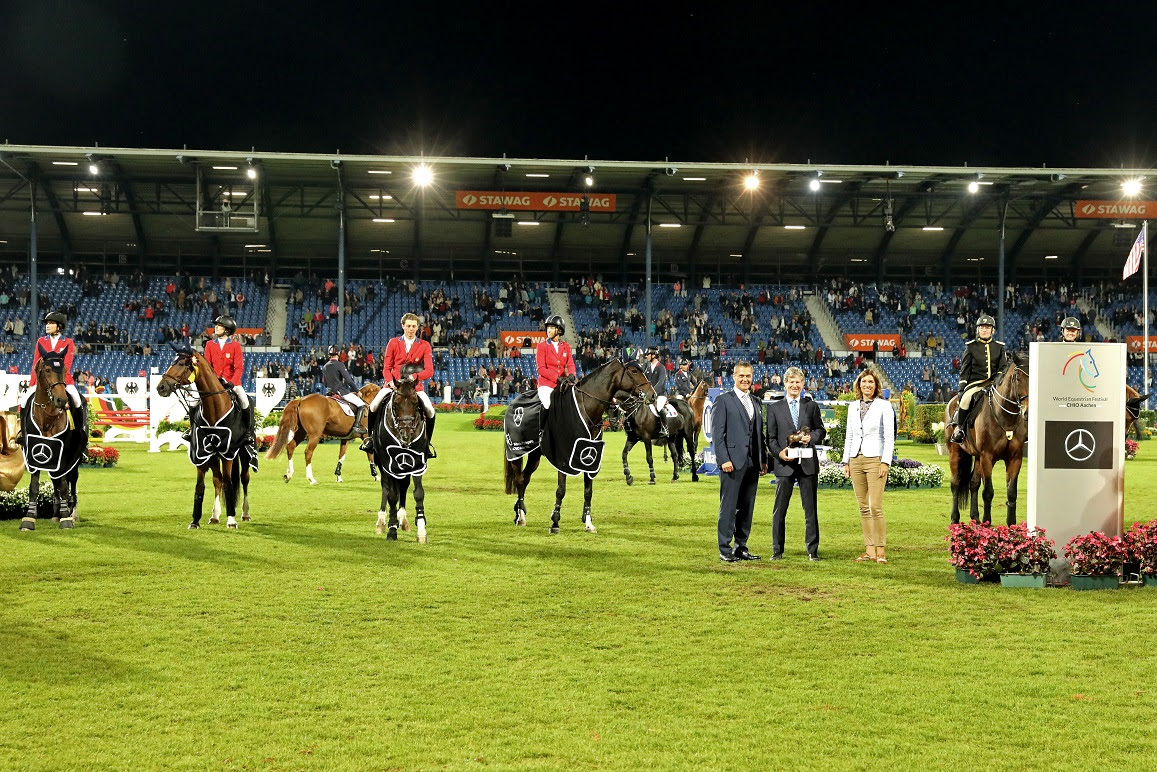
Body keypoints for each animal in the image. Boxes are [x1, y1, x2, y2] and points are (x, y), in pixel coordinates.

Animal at [370, 365, 430, 541]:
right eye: (395, 403)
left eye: (416, 402)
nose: (406, 434)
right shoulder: (387, 463)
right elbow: (392, 495)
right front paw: (391, 529)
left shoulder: (417, 463)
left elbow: (418, 493)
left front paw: (421, 530)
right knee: (386, 487)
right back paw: (382, 522)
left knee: (403, 486)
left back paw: (402, 520)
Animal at [504, 358, 657, 534]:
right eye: (633, 371)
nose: (653, 394)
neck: (586, 409)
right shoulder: (563, 458)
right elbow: (561, 490)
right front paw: (555, 522)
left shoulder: (590, 455)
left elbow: (588, 491)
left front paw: (589, 523)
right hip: (517, 452)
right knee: (519, 479)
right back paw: (520, 517)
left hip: (535, 456)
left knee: (525, 479)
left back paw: (519, 513)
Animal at [948, 354, 1032, 525]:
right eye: (1017, 378)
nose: (1027, 411)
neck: (1004, 417)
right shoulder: (987, 456)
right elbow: (988, 492)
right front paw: (987, 523)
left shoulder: (1015, 458)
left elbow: (1011, 492)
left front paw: (1011, 524)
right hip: (956, 452)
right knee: (956, 483)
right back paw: (955, 518)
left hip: (977, 457)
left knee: (973, 483)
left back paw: (975, 518)